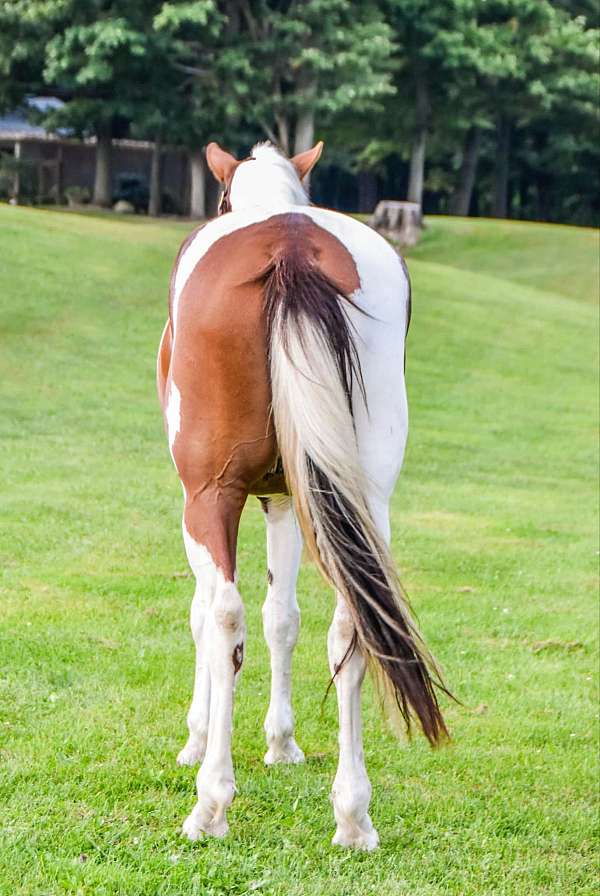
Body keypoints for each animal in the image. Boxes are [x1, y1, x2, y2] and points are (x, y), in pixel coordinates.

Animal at [157, 138, 448, 848]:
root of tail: (290, 242)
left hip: (211, 495)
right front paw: (282, 743)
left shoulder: (203, 499)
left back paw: (211, 803)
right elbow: (282, 617)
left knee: (224, 617)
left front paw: (197, 739)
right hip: (360, 499)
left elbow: (208, 615)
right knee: (352, 622)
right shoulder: (289, 500)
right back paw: (353, 815)